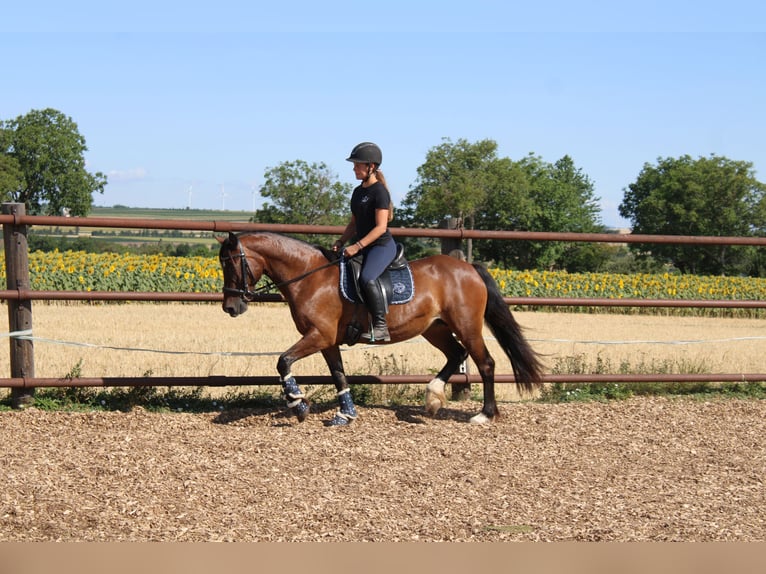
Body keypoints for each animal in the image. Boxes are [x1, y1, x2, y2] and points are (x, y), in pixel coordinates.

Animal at [217, 231, 543, 426]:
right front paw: (345, 414)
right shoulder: (328, 341)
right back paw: (433, 398)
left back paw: (484, 415)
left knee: (485, 362)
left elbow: (282, 360)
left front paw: (298, 404)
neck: (310, 277)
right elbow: (338, 375)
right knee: (456, 355)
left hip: (467, 326)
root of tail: (469, 268)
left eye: (231, 264)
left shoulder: (318, 336)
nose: (231, 308)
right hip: (434, 328)